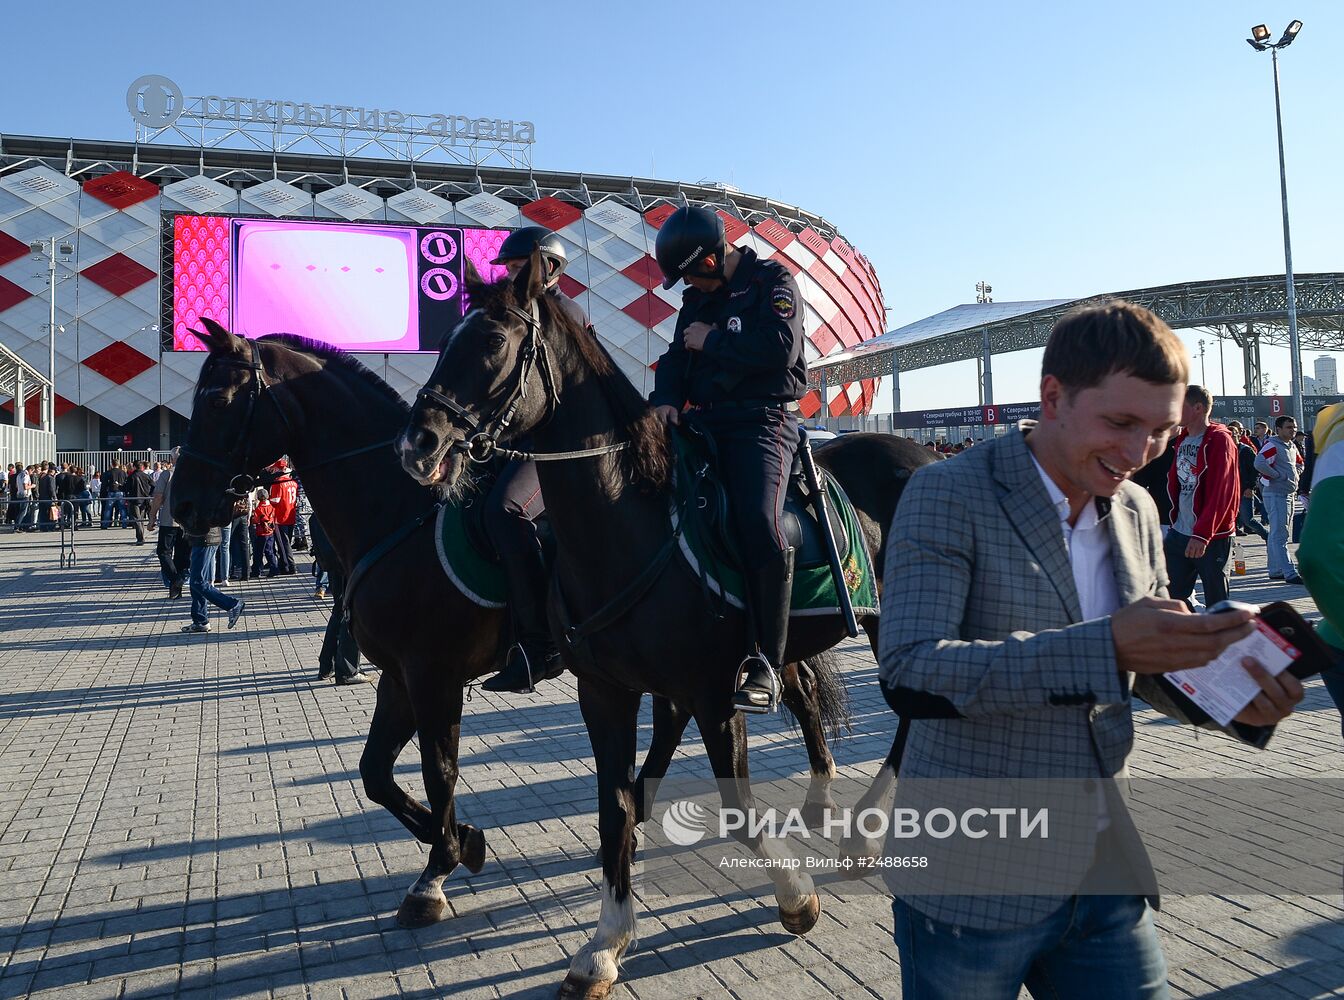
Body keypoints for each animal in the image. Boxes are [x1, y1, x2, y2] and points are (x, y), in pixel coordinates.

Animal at [170, 319, 860, 935]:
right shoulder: (399, 674)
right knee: (713, 707)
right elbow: (374, 774)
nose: (182, 506)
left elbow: (437, 769)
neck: (400, 510)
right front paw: (461, 843)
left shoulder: (433, 674)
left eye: (218, 400)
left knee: (775, 696)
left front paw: (441, 867)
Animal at [392, 259, 930, 1000]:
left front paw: (796, 898)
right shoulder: (606, 693)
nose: (418, 442)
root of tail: (923, 453)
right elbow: (613, 810)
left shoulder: (714, 692)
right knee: (816, 702)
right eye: (446, 340)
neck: (631, 522)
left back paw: (865, 833)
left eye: (494, 341)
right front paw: (605, 945)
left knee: (908, 712)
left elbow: (738, 809)